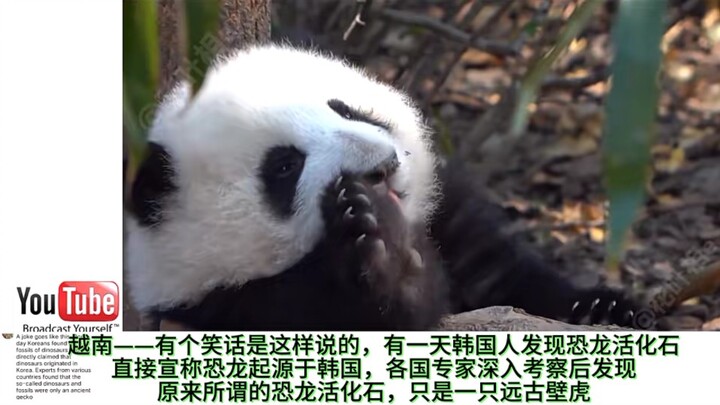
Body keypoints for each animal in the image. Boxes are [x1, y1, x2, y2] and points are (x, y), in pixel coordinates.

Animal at [125, 44, 639, 331]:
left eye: (344, 108)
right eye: (285, 166)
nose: (382, 167)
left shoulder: (444, 213)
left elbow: (503, 276)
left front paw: (599, 307)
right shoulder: (231, 304)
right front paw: (386, 255)